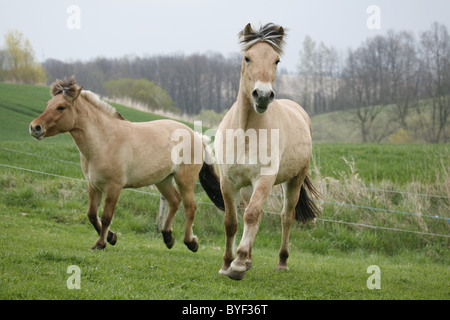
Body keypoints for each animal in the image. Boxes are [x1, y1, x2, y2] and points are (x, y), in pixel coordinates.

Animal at [29, 76, 209, 251]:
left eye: (61, 107)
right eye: (48, 105)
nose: (35, 127)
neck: (104, 141)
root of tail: (197, 135)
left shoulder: (113, 187)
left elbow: (106, 217)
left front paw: (101, 244)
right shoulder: (93, 185)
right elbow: (92, 215)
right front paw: (111, 237)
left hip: (185, 181)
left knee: (190, 207)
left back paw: (191, 243)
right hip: (163, 180)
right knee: (174, 201)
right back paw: (168, 238)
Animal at [202, 23, 322, 280]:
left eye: (276, 60)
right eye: (247, 57)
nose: (264, 95)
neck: (246, 132)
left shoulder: (264, 179)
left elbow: (251, 215)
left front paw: (237, 265)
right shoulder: (228, 181)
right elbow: (231, 221)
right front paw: (227, 264)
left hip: (293, 181)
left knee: (286, 217)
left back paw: (281, 262)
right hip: (248, 187)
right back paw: (248, 260)